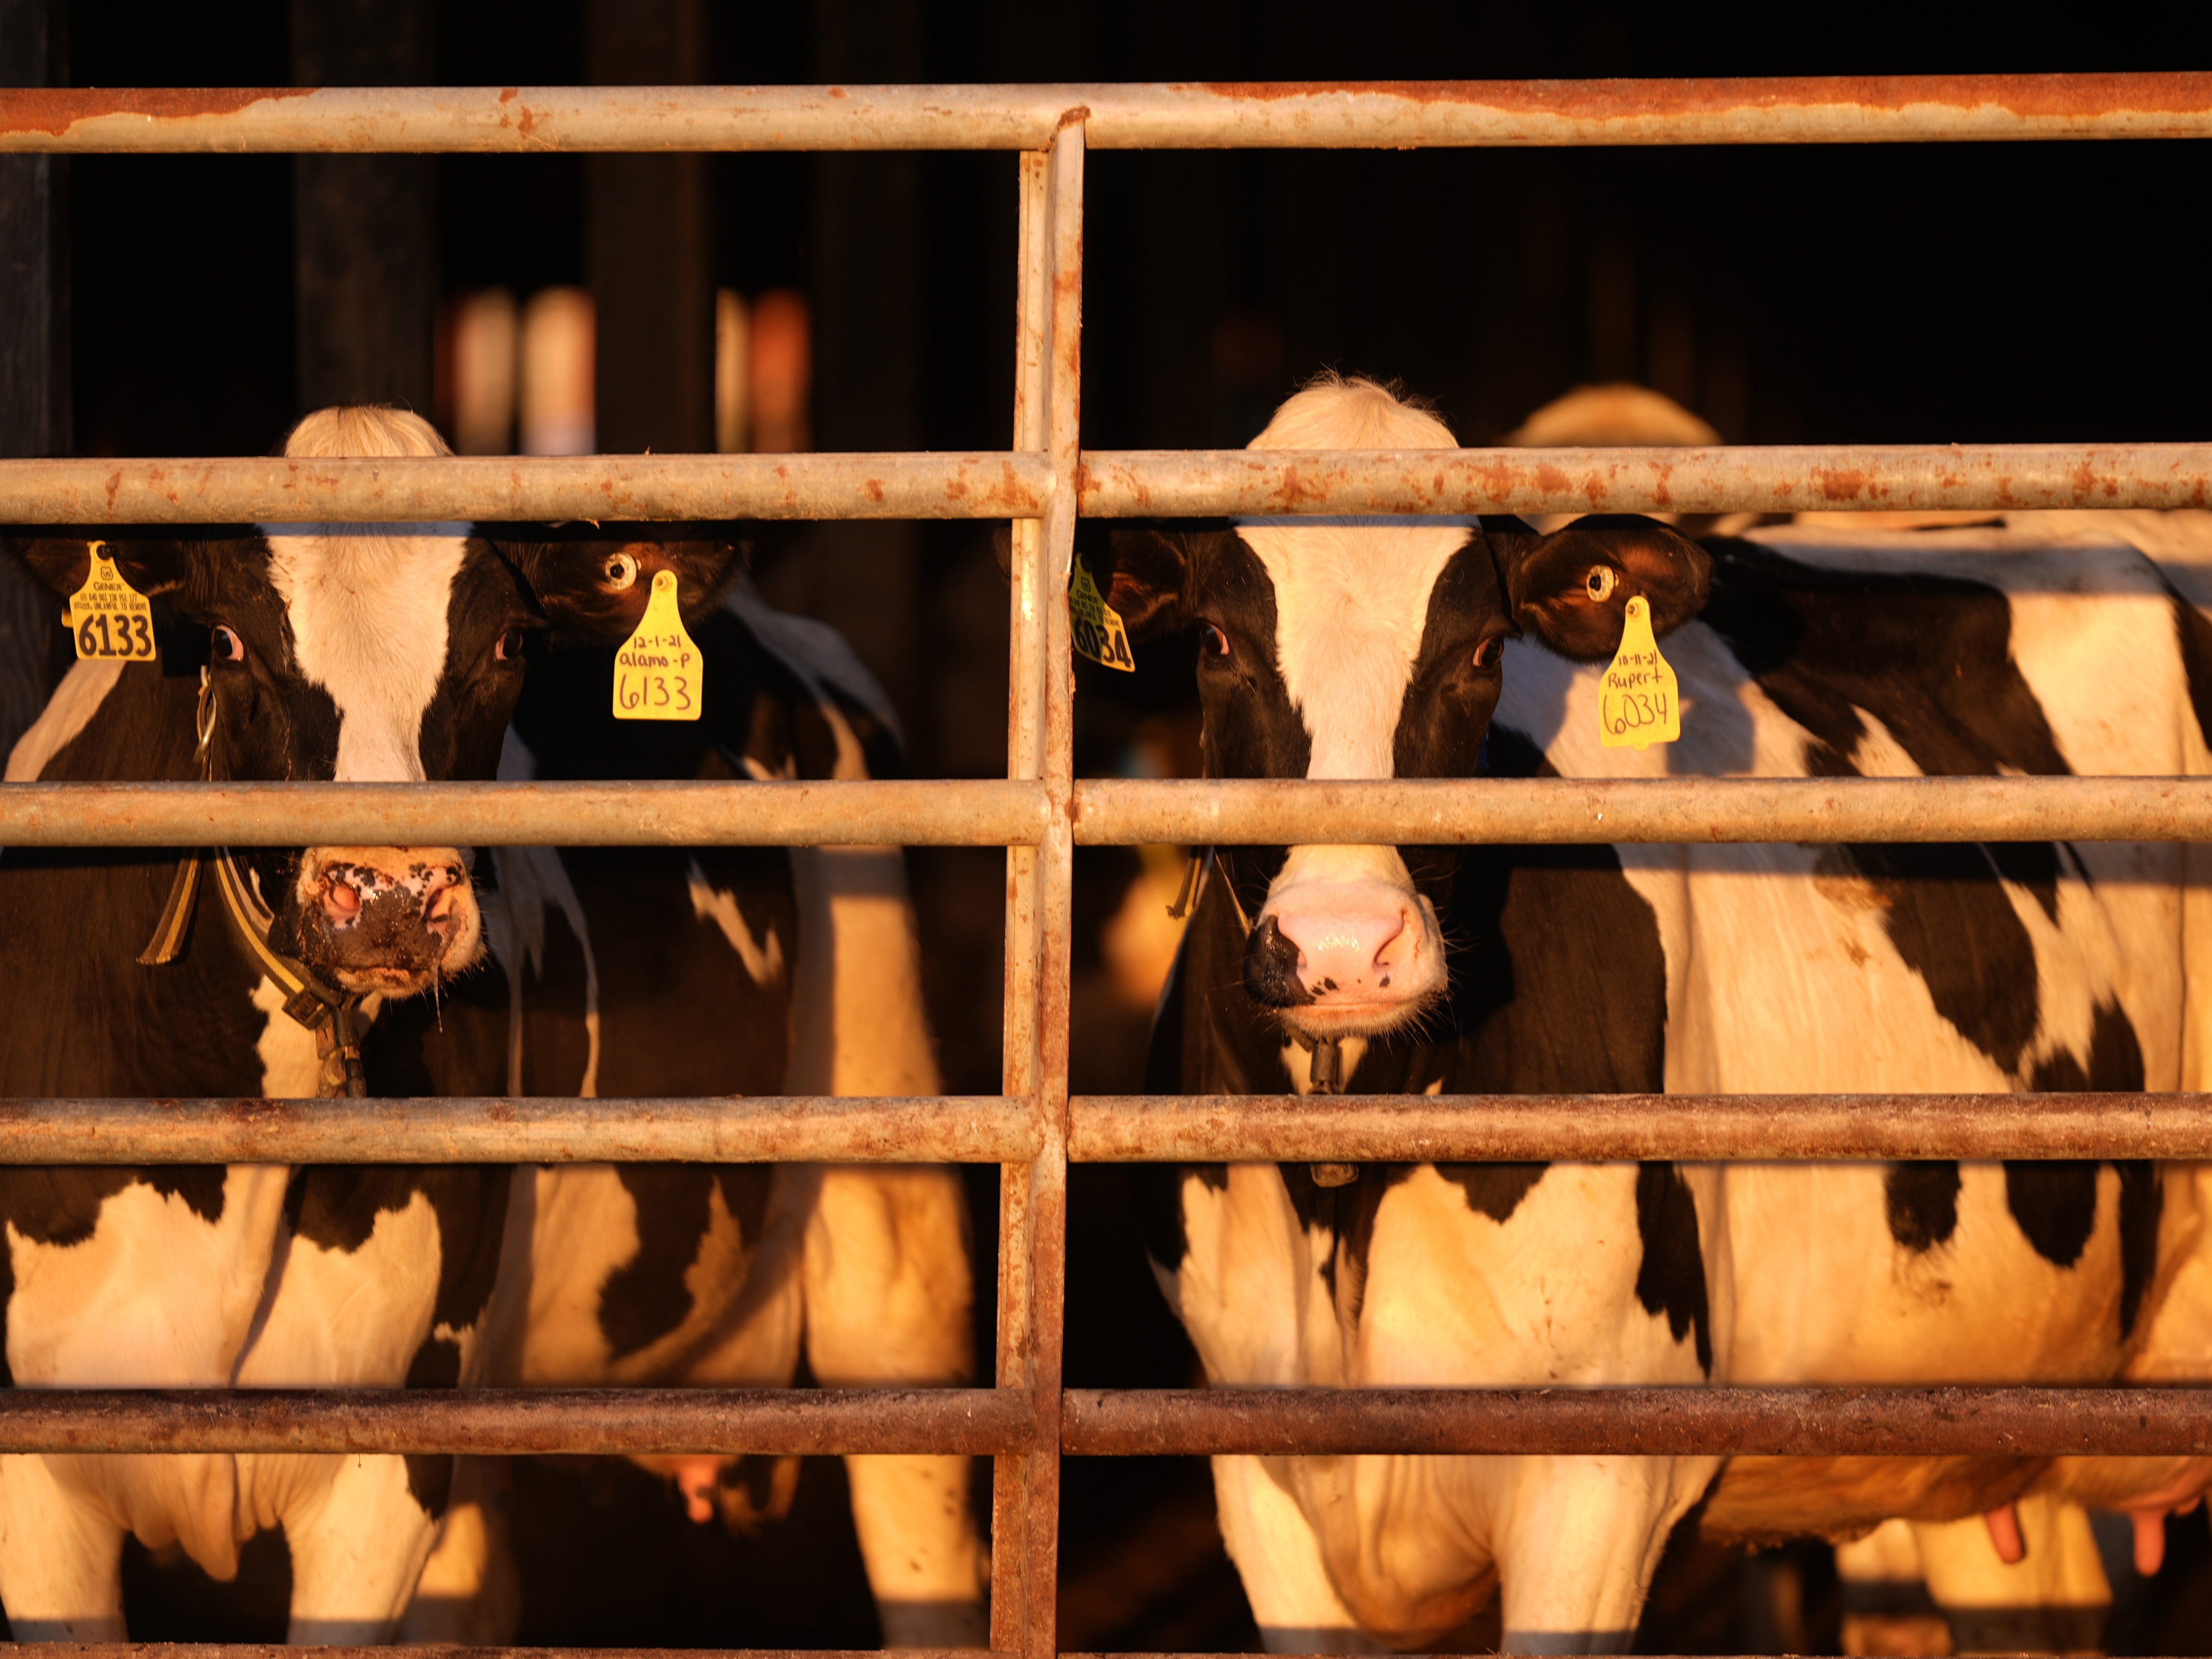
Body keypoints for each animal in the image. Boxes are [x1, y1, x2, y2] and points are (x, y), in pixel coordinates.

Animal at [1094, 374, 2212, 1654]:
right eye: (1217, 644)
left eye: (1481, 652)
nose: (1343, 945)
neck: (1344, 1195)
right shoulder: (1261, 1482)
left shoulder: (1595, 1480)